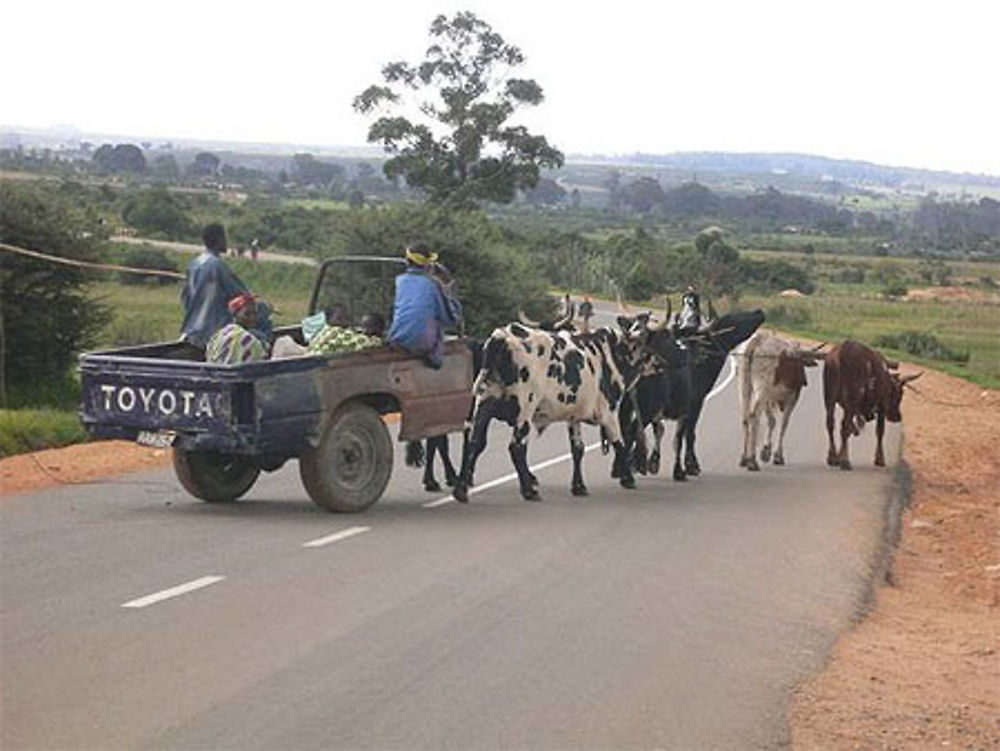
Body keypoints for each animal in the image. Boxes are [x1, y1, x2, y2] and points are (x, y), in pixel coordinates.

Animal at [452, 318, 652, 506]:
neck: (610, 353)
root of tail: (503, 335)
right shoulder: (608, 413)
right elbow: (620, 444)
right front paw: (628, 478)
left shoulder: (574, 415)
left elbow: (578, 449)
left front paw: (578, 486)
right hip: (525, 407)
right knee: (516, 447)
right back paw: (529, 490)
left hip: (484, 403)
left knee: (474, 443)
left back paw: (461, 489)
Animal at [820, 340, 920, 470]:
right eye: (899, 394)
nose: (897, 417)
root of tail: (844, 350)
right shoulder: (881, 406)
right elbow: (880, 431)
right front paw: (880, 459)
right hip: (851, 399)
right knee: (844, 427)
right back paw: (845, 461)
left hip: (829, 399)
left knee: (831, 424)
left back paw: (832, 457)